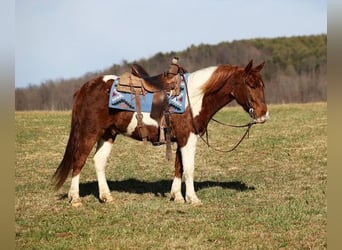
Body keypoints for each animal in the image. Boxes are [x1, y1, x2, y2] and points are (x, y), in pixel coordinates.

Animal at [52, 59, 268, 206]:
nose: (263, 115)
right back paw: (75, 198)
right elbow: (189, 169)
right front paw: (193, 198)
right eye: (250, 84)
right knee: (79, 160)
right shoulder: (188, 138)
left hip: (108, 134)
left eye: (262, 85)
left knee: (99, 161)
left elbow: (179, 167)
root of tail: (85, 87)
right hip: (89, 133)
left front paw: (177, 196)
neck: (194, 98)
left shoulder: (180, 139)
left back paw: (106, 196)